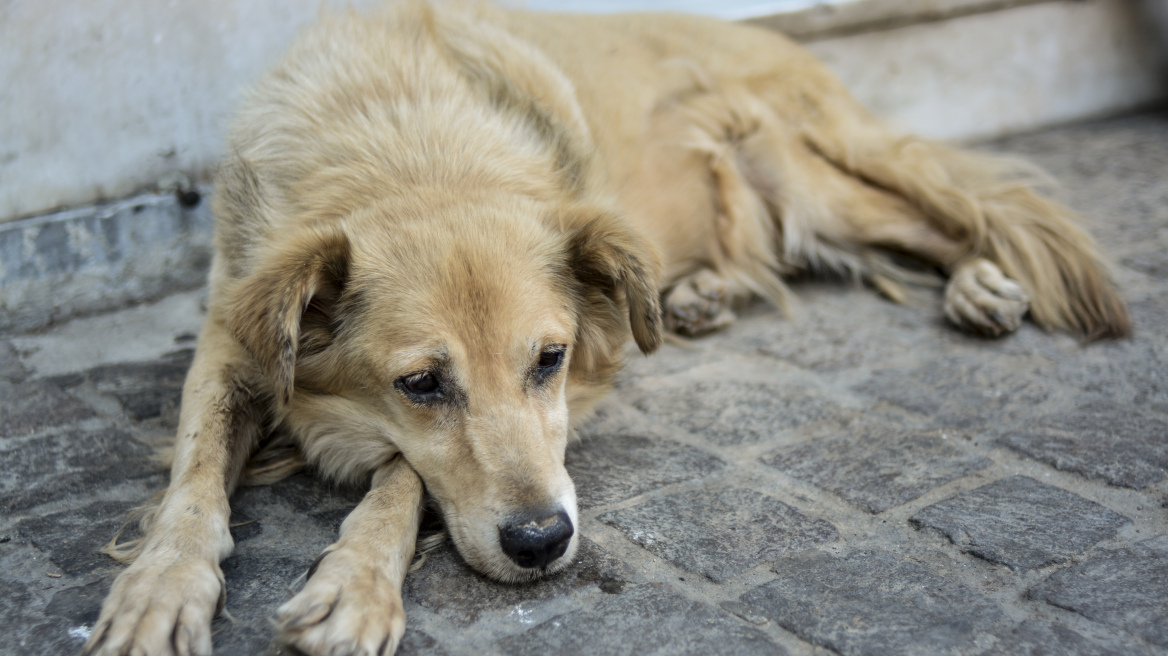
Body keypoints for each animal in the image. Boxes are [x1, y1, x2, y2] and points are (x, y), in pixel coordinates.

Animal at [82, 2, 1130, 648]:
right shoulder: (230, 338)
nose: (542, 542)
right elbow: (193, 482)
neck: (404, 143)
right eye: (421, 383)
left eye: (548, 360)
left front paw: (355, 583)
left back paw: (982, 284)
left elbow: (401, 481)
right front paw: (161, 590)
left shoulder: (581, 390)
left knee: (951, 216)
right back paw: (699, 295)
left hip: (815, 177)